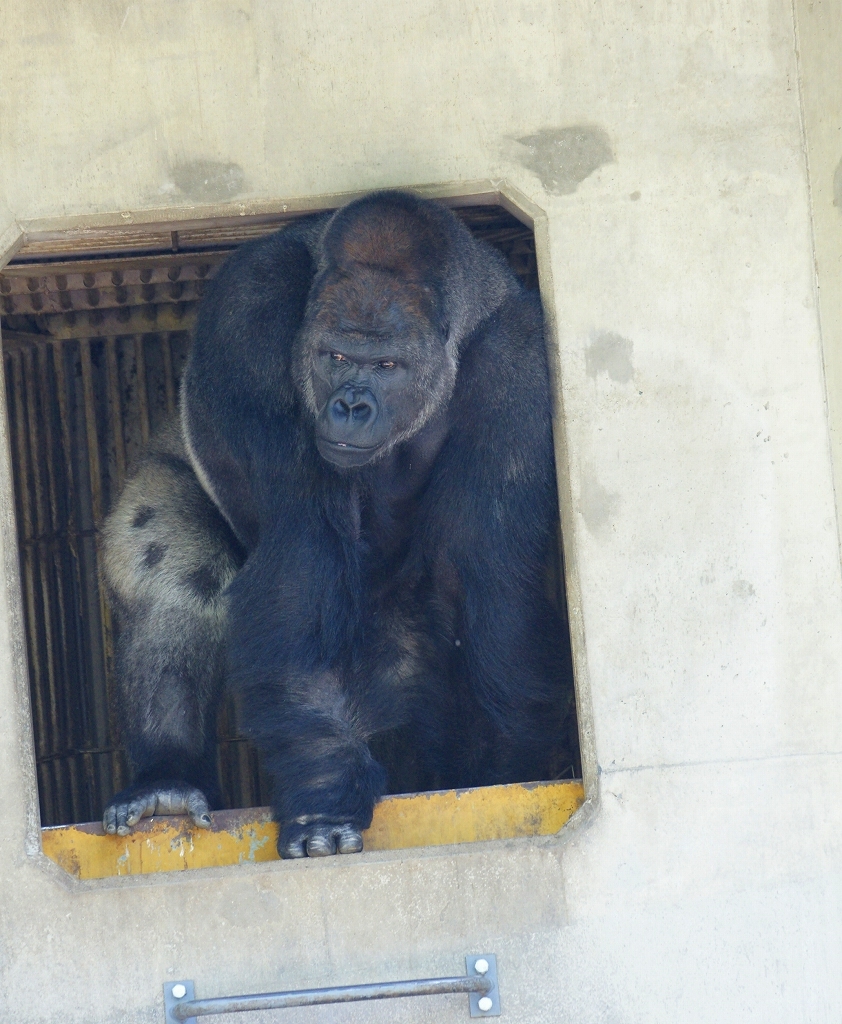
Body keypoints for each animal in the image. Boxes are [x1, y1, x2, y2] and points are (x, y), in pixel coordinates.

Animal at [98, 192, 577, 856]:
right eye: (337, 357)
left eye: (387, 364)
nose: (351, 406)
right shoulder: (249, 309)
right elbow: (302, 553)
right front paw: (323, 791)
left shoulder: (522, 356)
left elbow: (486, 578)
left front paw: (498, 772)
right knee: (173, 567)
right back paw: (165, 778)